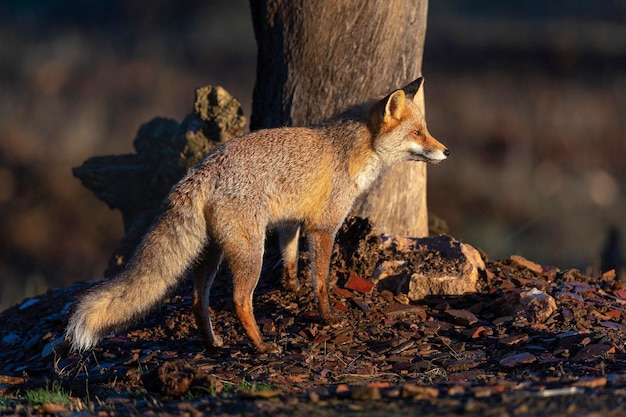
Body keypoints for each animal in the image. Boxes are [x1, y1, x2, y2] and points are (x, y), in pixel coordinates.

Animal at [66, 76, 446, 352]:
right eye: (417, 132)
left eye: (426, 129)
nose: (446, 151)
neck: (349, 152)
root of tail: (202, 169)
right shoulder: (323, 227)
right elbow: (321, 282)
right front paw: (326, 318)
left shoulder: (291, 220)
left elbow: (290, 257)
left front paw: (291, 288)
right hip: (250, 252)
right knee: (239, 301)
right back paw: (261, 346)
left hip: (213, 251)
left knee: (197, 298)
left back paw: (213, 343)